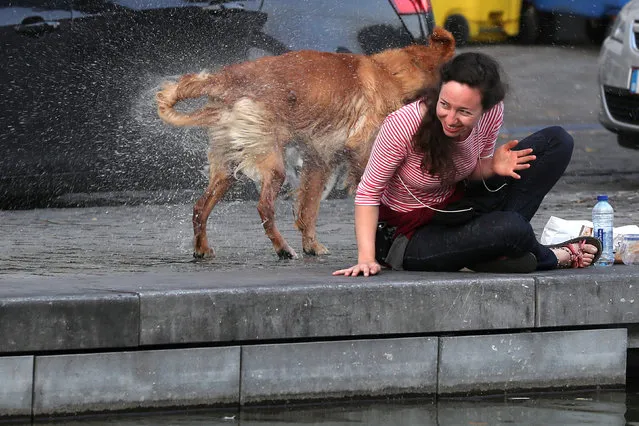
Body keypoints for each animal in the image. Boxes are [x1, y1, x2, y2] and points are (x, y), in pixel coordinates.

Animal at [155, 28, 456, 260]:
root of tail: (224, 80)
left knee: (199, 208)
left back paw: (202, 249)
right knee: (264, 208)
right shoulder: (362, 149)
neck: (392, 74)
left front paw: (312, 246)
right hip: (272, 164)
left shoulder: (319, 160)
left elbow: (309, 208)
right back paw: (283, 249)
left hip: (227, 167)